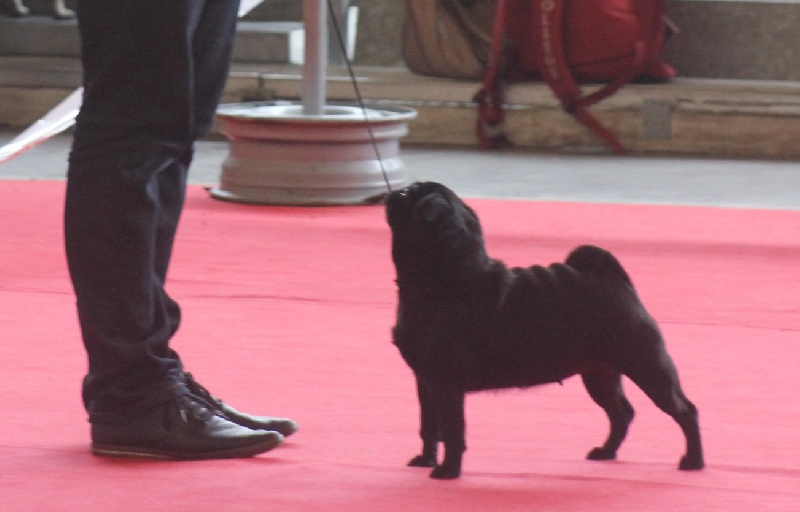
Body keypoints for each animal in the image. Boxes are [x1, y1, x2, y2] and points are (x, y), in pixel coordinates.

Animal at [384, 182, 704, 478]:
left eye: (407, 194)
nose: (394, 192)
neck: (448, 276)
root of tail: (615, 279)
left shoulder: (447, 384)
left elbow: (452, 430)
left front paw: (448, 470)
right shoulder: (426, 381)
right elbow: (429, 426)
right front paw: (426, 460)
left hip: (647, 366)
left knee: (685, 411)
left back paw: (694, 461)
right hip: (599, 374)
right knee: (621, 413)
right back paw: (607, 451)